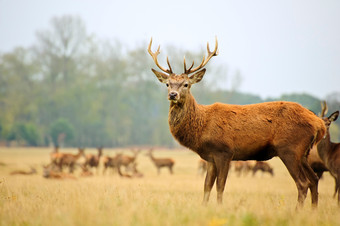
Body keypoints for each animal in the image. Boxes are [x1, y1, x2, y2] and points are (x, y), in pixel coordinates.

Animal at [149, 37, 326, 208]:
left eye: (186, 84)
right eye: (167, 84)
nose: (173, 94)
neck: (202, 126)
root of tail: (319, 124)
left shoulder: (224, 151)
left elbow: (220, 185)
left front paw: (219, 208)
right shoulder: (210, 157)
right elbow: (206, 186)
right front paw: (203, 207)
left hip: (290, 148)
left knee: (302, 183)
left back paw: (297, 212)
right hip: (304, 153)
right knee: (314, 179)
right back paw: (313, 210)